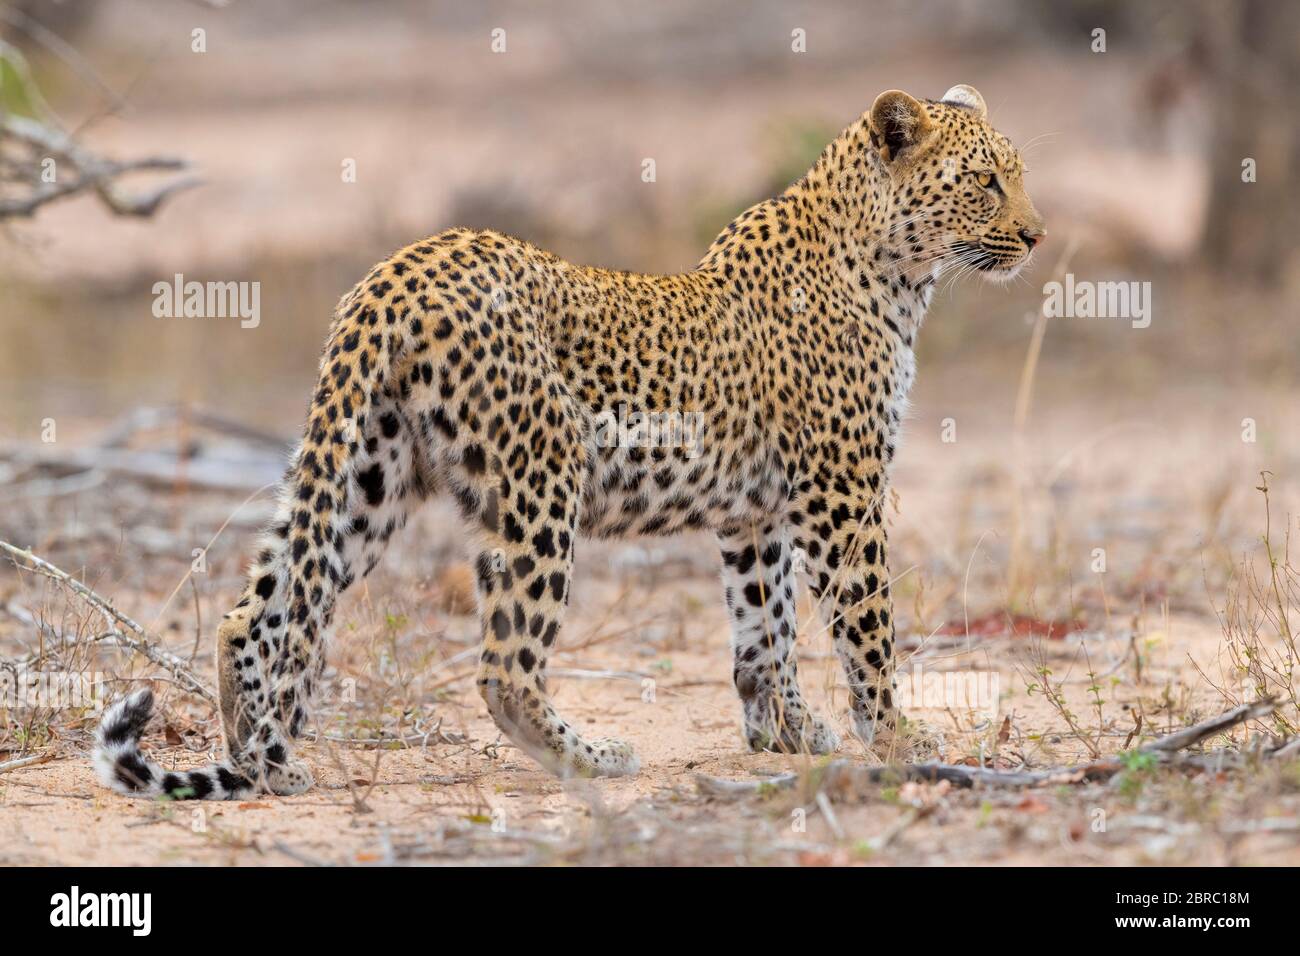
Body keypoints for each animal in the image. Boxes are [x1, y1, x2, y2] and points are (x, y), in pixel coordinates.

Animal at [94, 83, 1045, 801]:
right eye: (986, 182)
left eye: (1018, 176)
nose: (1037, 235)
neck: (899, 274)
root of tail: (392, 275)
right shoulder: (841, 495)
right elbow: (865, 626)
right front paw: (895, 740)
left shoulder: (757, 512)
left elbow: (763, 628)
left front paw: (787, 733)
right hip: (543, 475)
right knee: (504, 666)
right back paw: (592, 759)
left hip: (368, 476)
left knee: (255, 610)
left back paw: (262, 759)